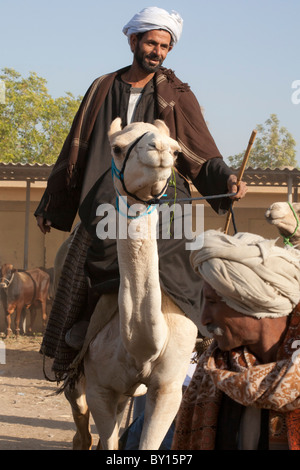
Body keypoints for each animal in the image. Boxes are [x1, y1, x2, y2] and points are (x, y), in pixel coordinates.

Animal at [64, 119, 198, 450]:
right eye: (117, 147)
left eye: (176, 151)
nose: (160, 149)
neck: (141, 347)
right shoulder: (100, 386)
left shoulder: (168, 388)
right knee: (80, 417)